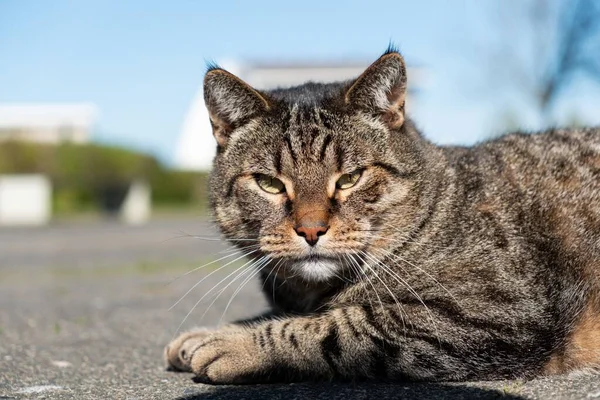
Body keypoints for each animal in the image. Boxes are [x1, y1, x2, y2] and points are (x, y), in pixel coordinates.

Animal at [164, 46, 600, 384]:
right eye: (269, 184)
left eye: (350, 178)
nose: (311, 229)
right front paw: (210, 332)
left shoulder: (491, 309)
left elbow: (336, 327)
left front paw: (234, 343)